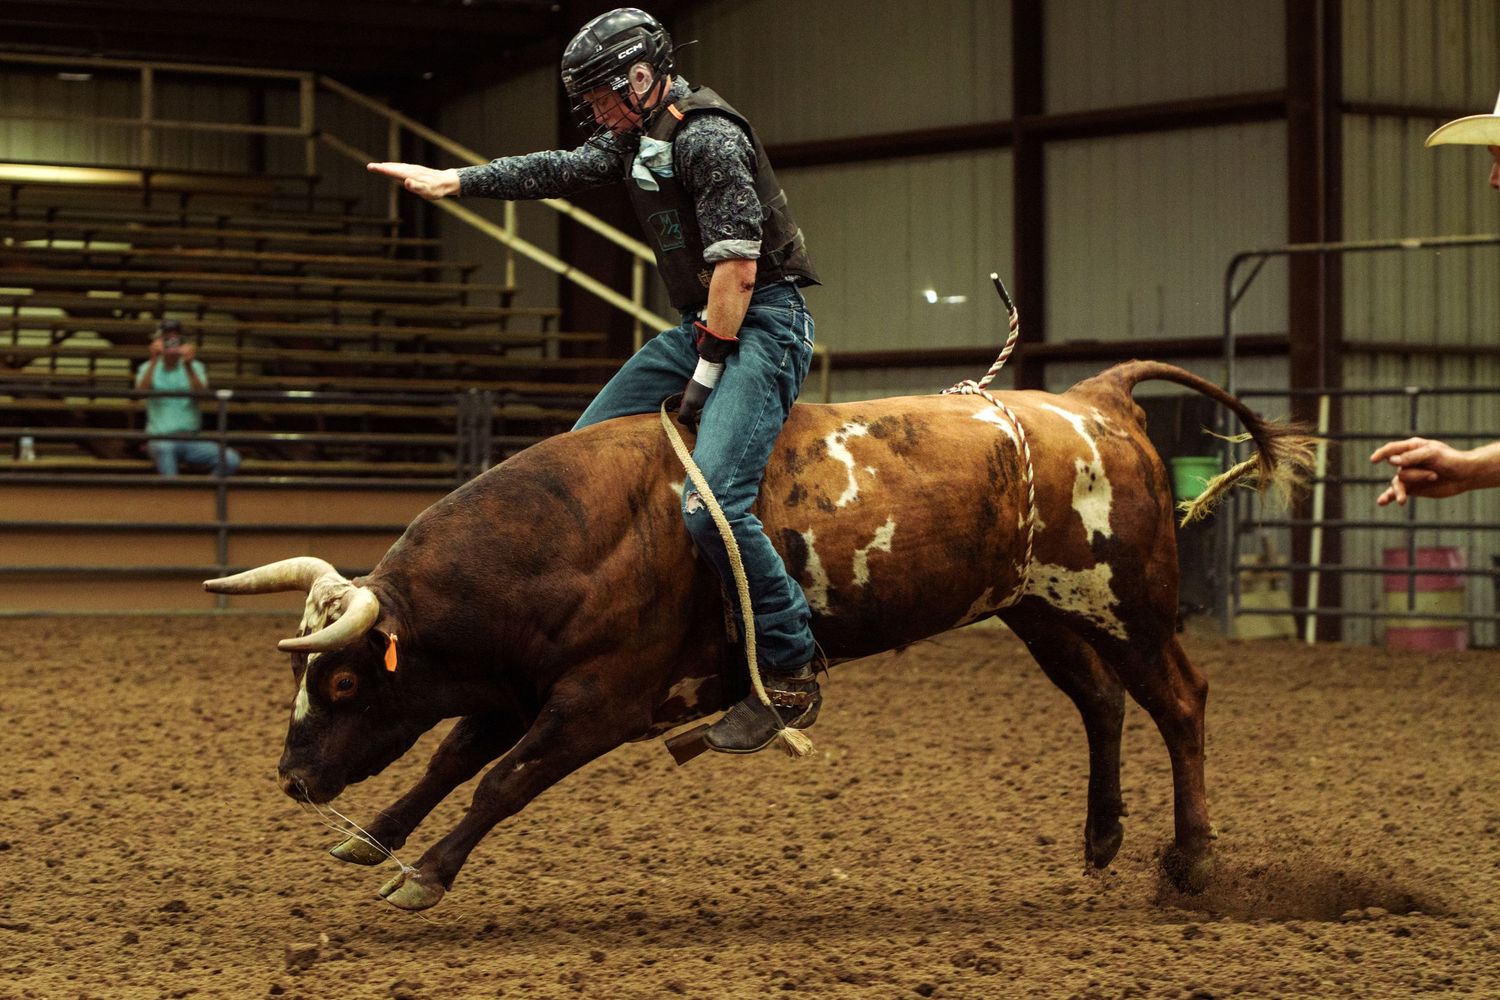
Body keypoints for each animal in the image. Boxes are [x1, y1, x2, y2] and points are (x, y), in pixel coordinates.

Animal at [206, 360, 1313, 912]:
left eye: (341, 684)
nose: (291, 780)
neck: (582, 533)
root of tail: (1095, 398)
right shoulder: (520, 688)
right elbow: (449, 760)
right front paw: (373, 836)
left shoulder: (600, 704)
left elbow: (500, 782)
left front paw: (422, 876)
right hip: (1037, 605)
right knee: (1101, 699)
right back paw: (1102, 836)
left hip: (1127, 599)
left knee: (1179, 702)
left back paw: (1191, 861)